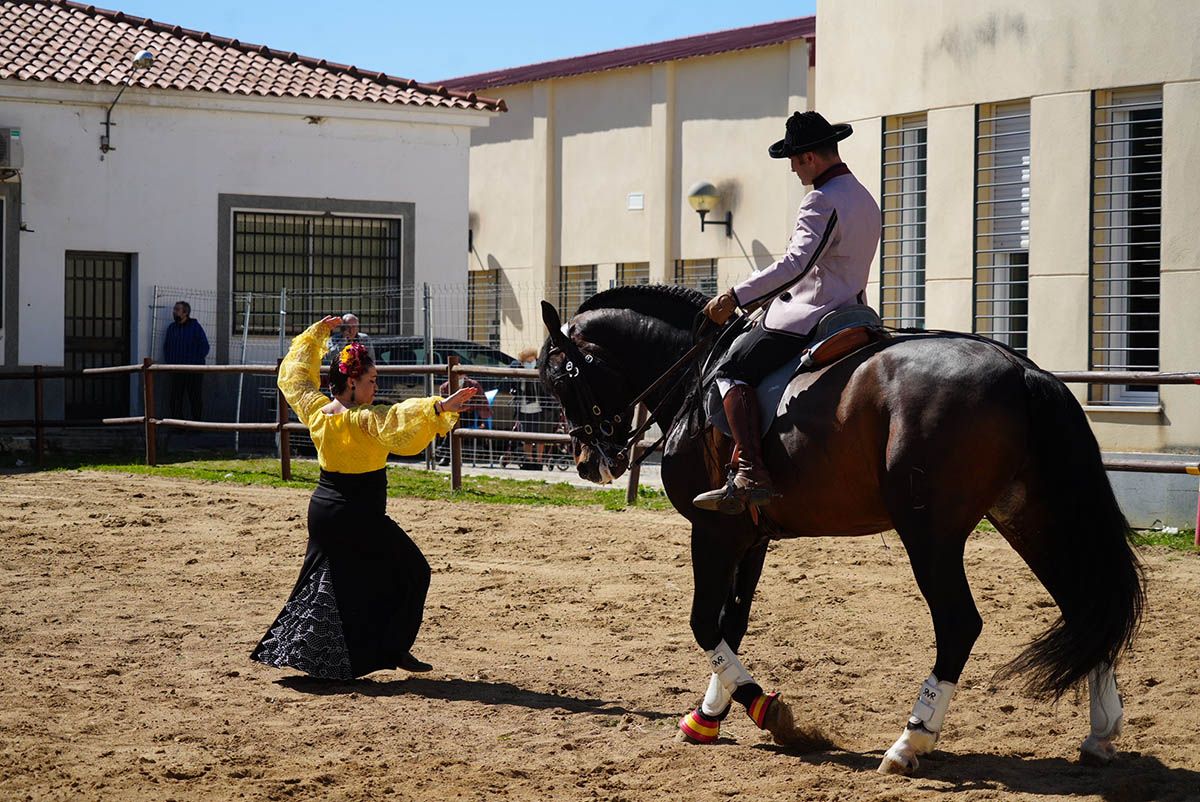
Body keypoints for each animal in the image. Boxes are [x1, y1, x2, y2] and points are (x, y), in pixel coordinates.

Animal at [542, 284, 1142, 773]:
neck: (697, 376)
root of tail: (1020, 370)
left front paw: (766, 709)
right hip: (1027, 516)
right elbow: (733, 621)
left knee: (959, 625)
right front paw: (708, 714)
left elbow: (703, 623)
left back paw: (910, 741)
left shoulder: (711, 531)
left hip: (930, 536)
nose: (587, 462)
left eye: (561, 380)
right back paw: (1101, 733)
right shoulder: (749, 537)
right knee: (1086, 605)